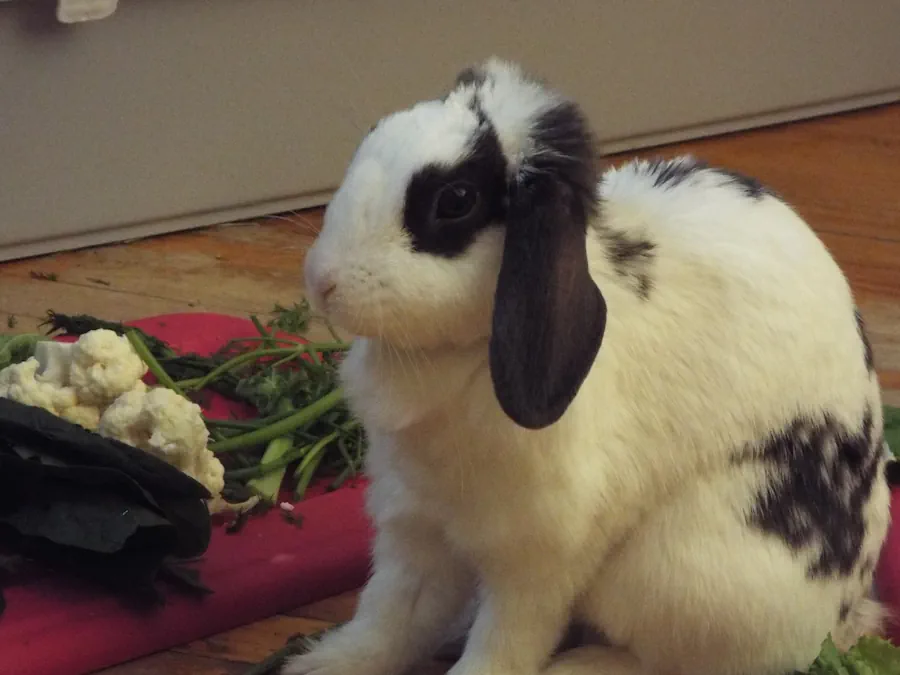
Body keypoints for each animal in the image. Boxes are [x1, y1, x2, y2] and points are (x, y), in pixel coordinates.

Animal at [285, 58, 892, 675]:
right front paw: (317, 664)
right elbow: (390, 618)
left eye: (455, 200)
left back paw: (577, 666)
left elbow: (505, 642)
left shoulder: (540, 557)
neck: (458, 357)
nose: (322, 281)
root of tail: (846, 612)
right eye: (376, 132)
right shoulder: (414, 523)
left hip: (685, 579)